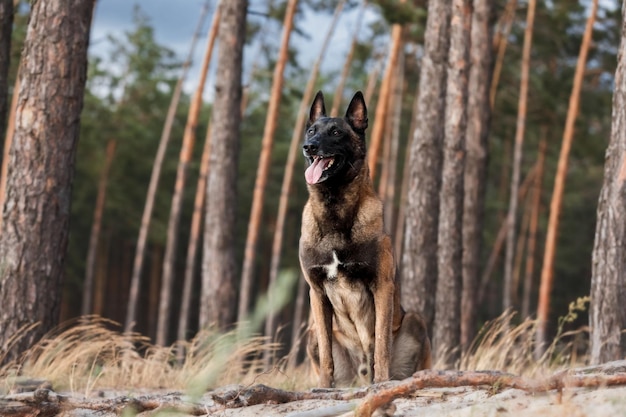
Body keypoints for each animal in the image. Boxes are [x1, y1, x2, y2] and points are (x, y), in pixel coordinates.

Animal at [298, 91, 428, 386]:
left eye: (336, 132)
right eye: (311, 130)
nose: (309, 147)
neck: (335, 210)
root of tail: (360, 374)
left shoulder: (382, 286)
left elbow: (380, 344)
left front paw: (382, 381)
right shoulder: (317, 293)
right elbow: (326, 353)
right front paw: (323, 388)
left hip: (416, 320)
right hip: (310, 334)